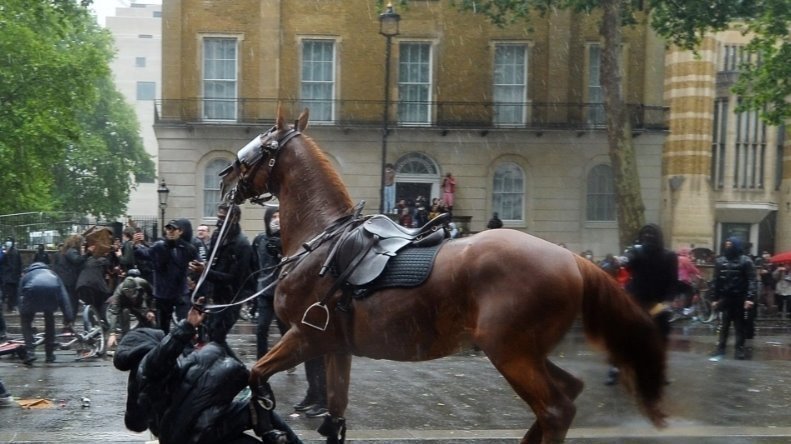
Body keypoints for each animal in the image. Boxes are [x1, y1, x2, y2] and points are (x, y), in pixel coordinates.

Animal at [219, 107, 667, 444]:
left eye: (261, 145)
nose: (225, 179)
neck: (324, 238)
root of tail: (571, 259)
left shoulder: (306, 336)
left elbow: (256, 374)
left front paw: (264, 418)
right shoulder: (335, 346)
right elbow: (335, 416)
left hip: (510, 351)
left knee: (556, 409)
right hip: (525, 351)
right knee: (564, 396)